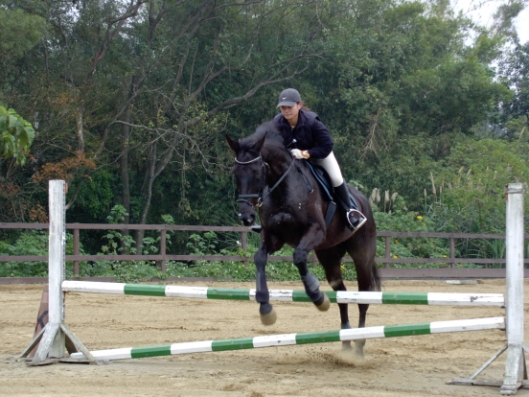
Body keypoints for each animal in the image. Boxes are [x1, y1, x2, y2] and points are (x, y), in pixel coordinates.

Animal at [226, 121, 380, 356]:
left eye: (256, 171)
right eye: (235, 172)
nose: (246, 217)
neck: (283, 188)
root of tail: (364, 202)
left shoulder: (314, 231)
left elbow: (298, 257)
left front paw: (317, 296)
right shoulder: (274, 236)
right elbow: (259, 259)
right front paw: (266, 308)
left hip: (362, 253)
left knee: (363, 297)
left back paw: (359, 345)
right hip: (329, 255)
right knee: (342, 293)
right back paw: (346, 340)